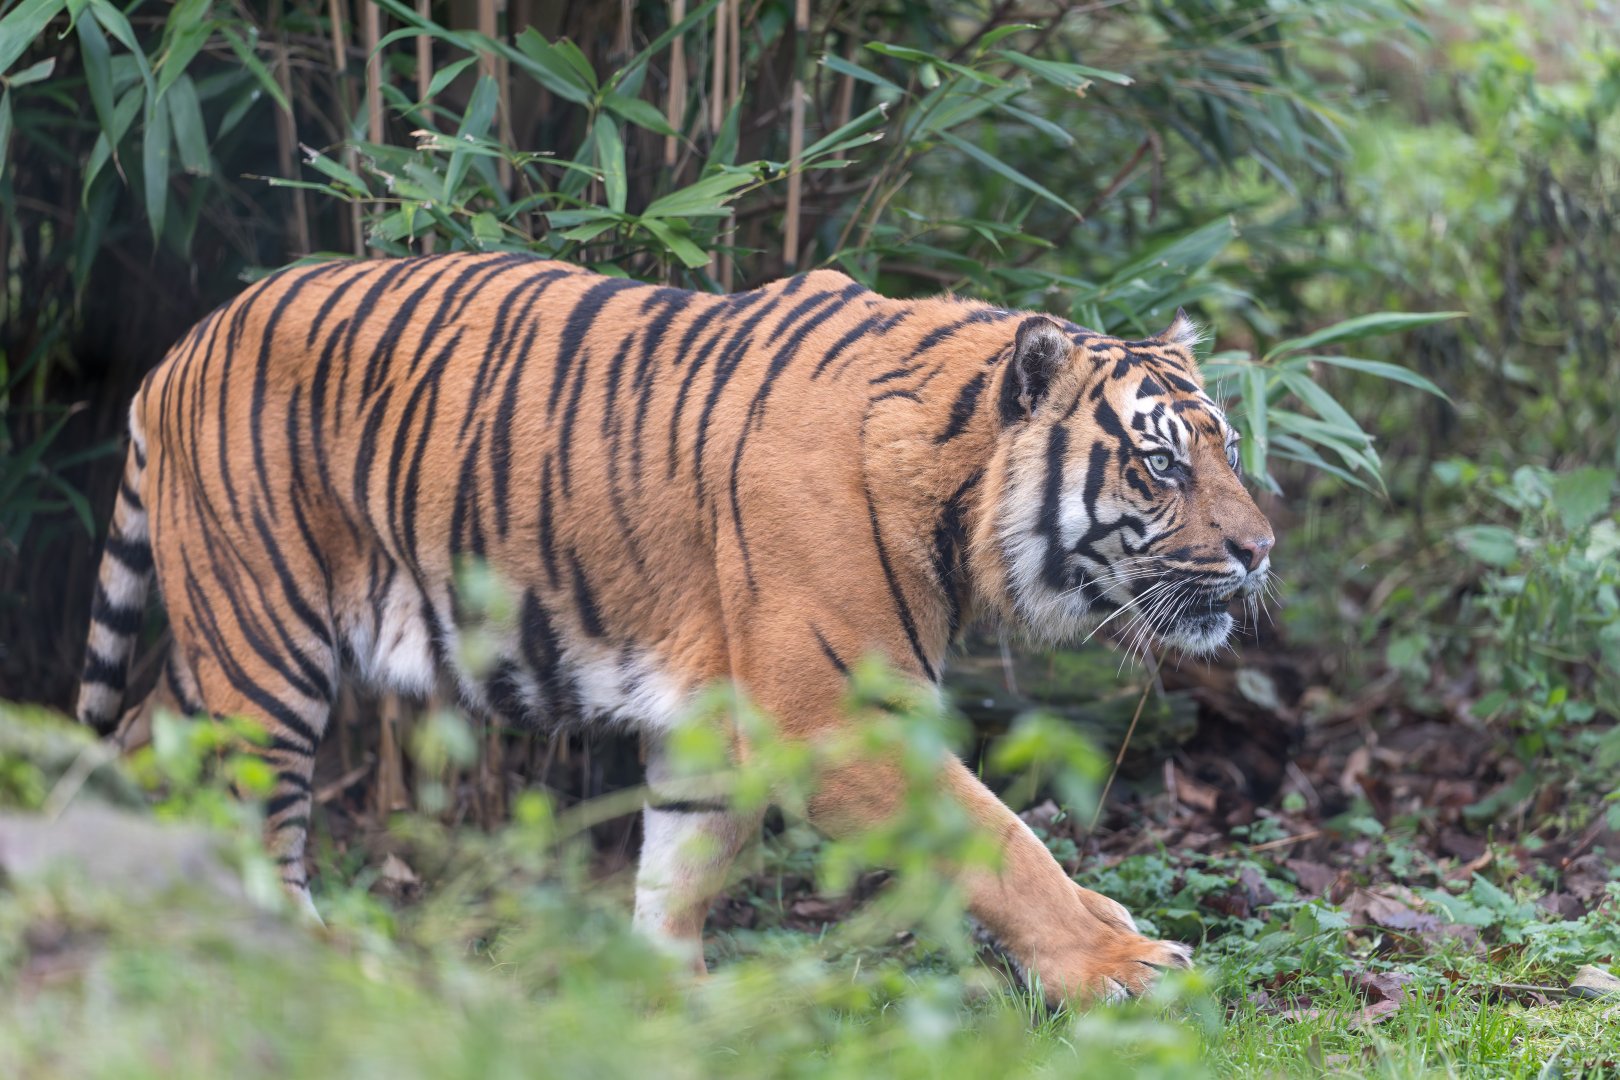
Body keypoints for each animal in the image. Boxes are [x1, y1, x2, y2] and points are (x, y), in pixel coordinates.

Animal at [76, 251, 1274, 1003]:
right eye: (1161, 465)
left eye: (1225, 448)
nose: (1262, 550)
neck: (954, 481)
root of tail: (176, 354)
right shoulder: (833, 717)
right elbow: (998, 838)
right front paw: (1116, 969)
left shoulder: (717, 711)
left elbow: (681, 861)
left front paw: (669, 993)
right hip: (264, 648)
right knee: (252, 816)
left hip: (225, 653)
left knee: (140, 744)